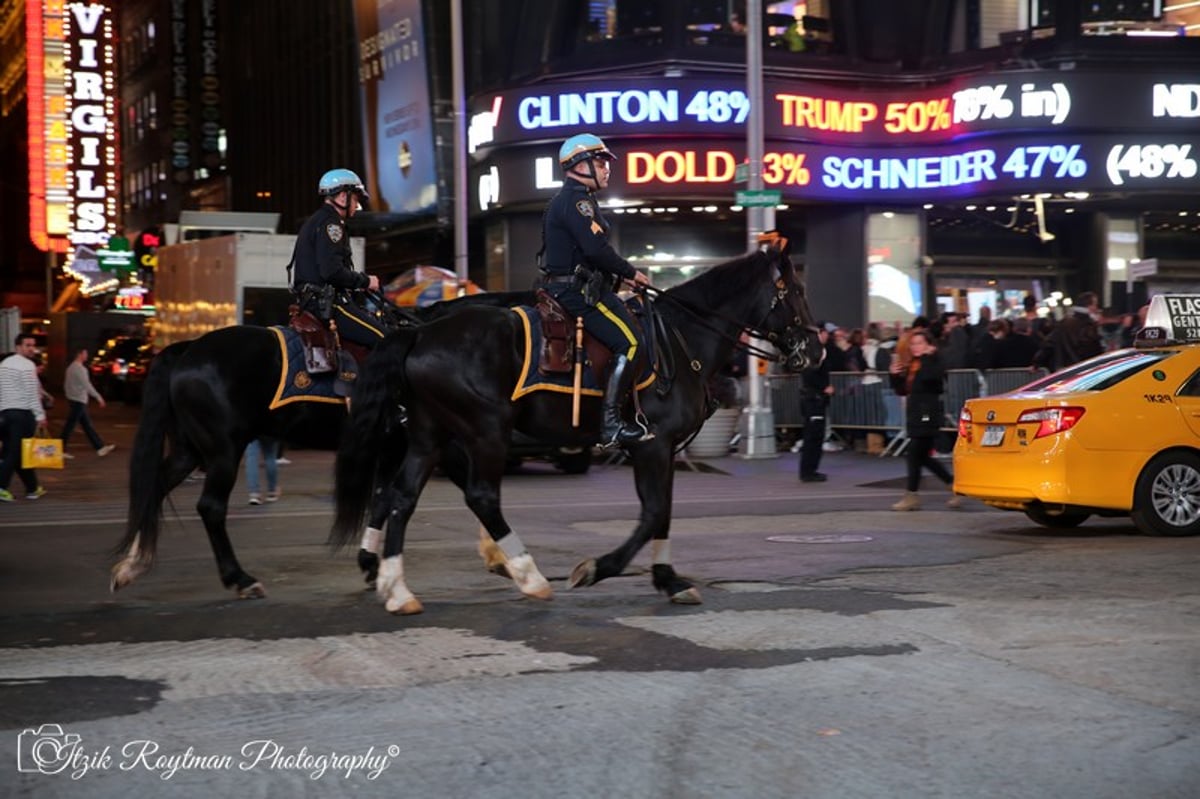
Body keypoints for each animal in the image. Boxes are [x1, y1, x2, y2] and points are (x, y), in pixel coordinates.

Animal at [109, 289, 535, 595]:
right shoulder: (440, 446)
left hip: (190, 450)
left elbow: (384, 499)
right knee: (210, 507)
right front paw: (505, 559)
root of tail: (188, 349)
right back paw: (239, 579)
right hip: (222, 452)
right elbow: (462, 490)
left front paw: (371, 563)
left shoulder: (397, 449)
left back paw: (131, 566)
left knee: (154, 488)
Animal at [328, 245, 825, 611]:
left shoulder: (662, 450)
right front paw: (598, 569)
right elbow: (652, 514)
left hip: (430, 436)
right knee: (479, 496)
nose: (818, 351)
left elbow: (663, 513)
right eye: (796, 290)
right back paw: (527, 575)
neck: (684, 340)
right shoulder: (651, 446)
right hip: (484, 433)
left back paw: (397, 588)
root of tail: (420, 332)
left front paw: (668, 580)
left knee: (401, 495)